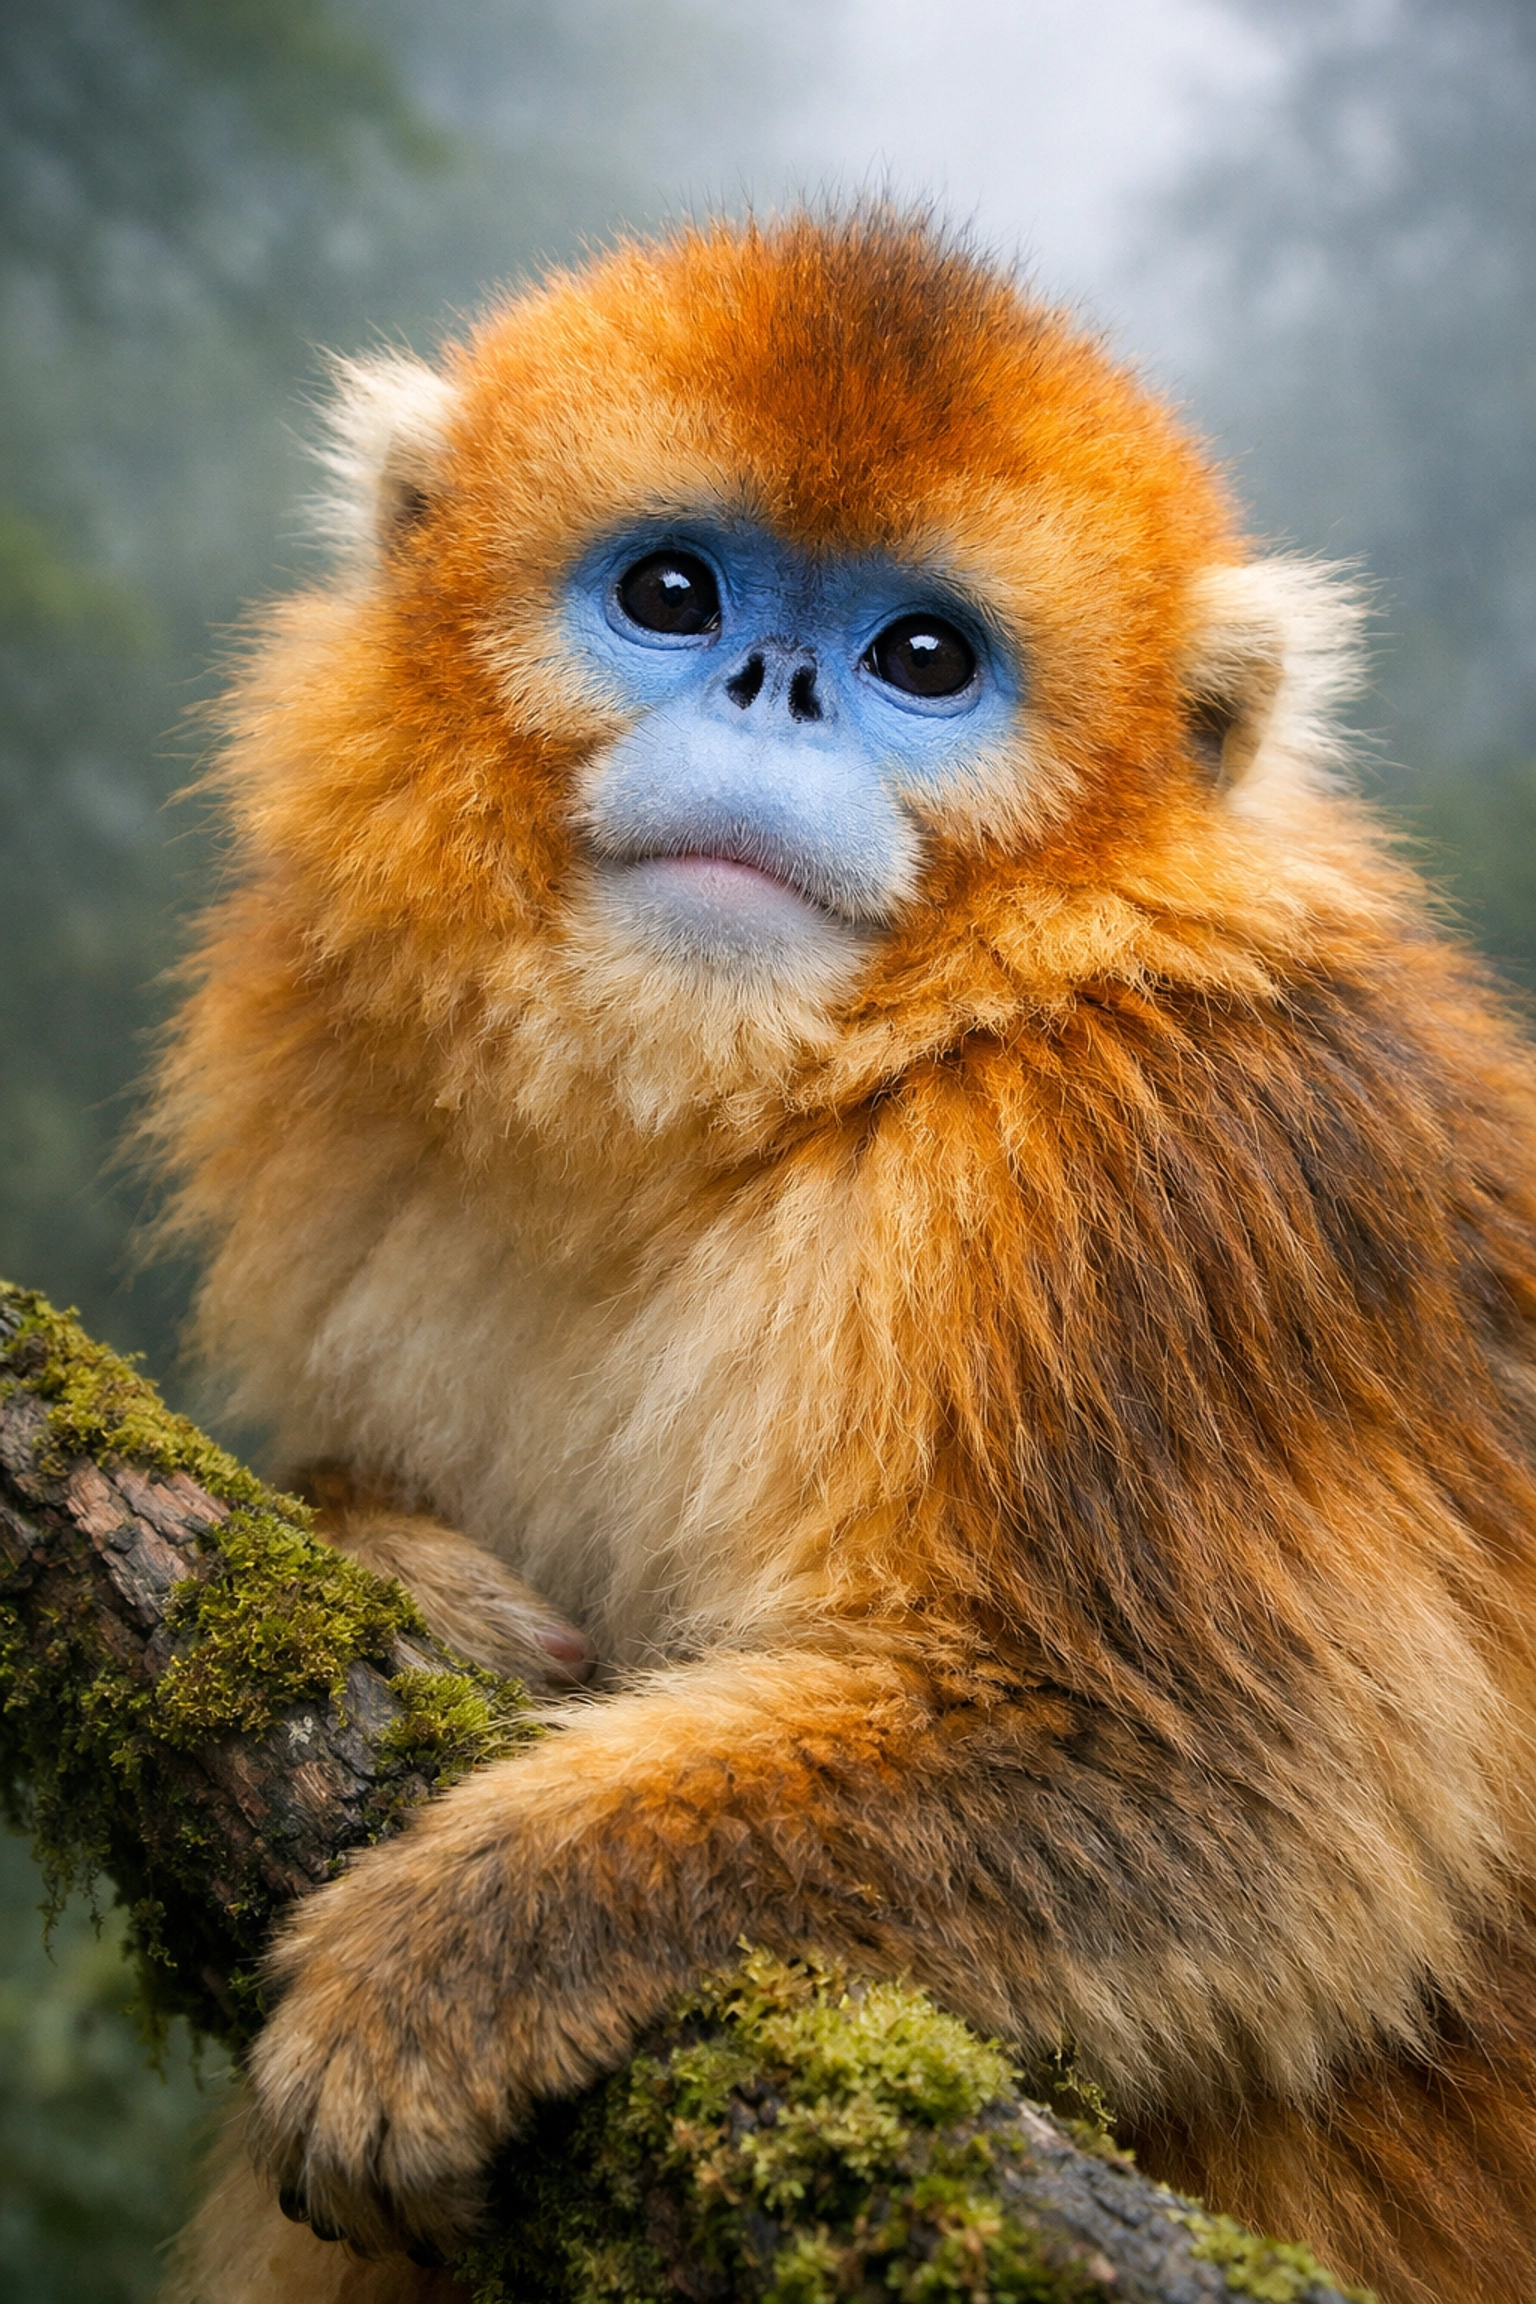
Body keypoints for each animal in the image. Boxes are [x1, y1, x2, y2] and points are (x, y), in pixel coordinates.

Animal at [151, 211, 1536, 2304]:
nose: (770, 692)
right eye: (671, 592)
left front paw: (469, 1947)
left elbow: (1263, 1811)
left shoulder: (1131, 1189)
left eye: (921, 658)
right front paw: (379, 1542)